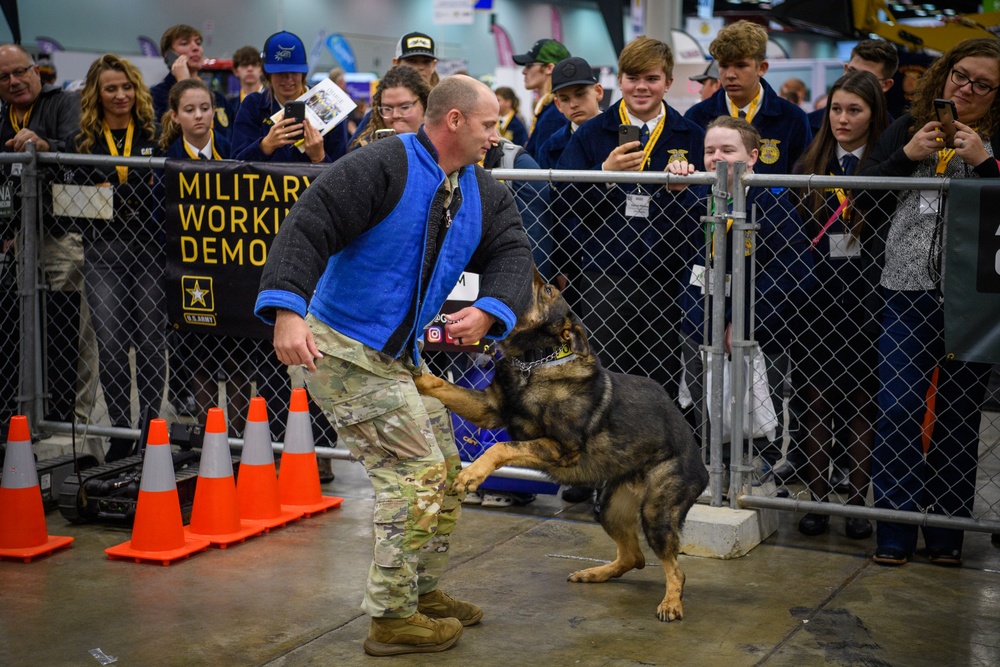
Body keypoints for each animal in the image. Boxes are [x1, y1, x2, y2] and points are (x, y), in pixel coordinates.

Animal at [414, 270, 712, 620]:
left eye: (547, 290)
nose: (533, 267)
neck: (535, 363)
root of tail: (703, 467)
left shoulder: (560, 449)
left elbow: (500, 448)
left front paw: (471, 475)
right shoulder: (489, 409)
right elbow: (442, 386)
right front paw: (414, 372)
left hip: (656, 513)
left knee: (675, 569)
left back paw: (671, 602)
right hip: (609, 507)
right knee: (634, 557)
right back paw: (595, 573)